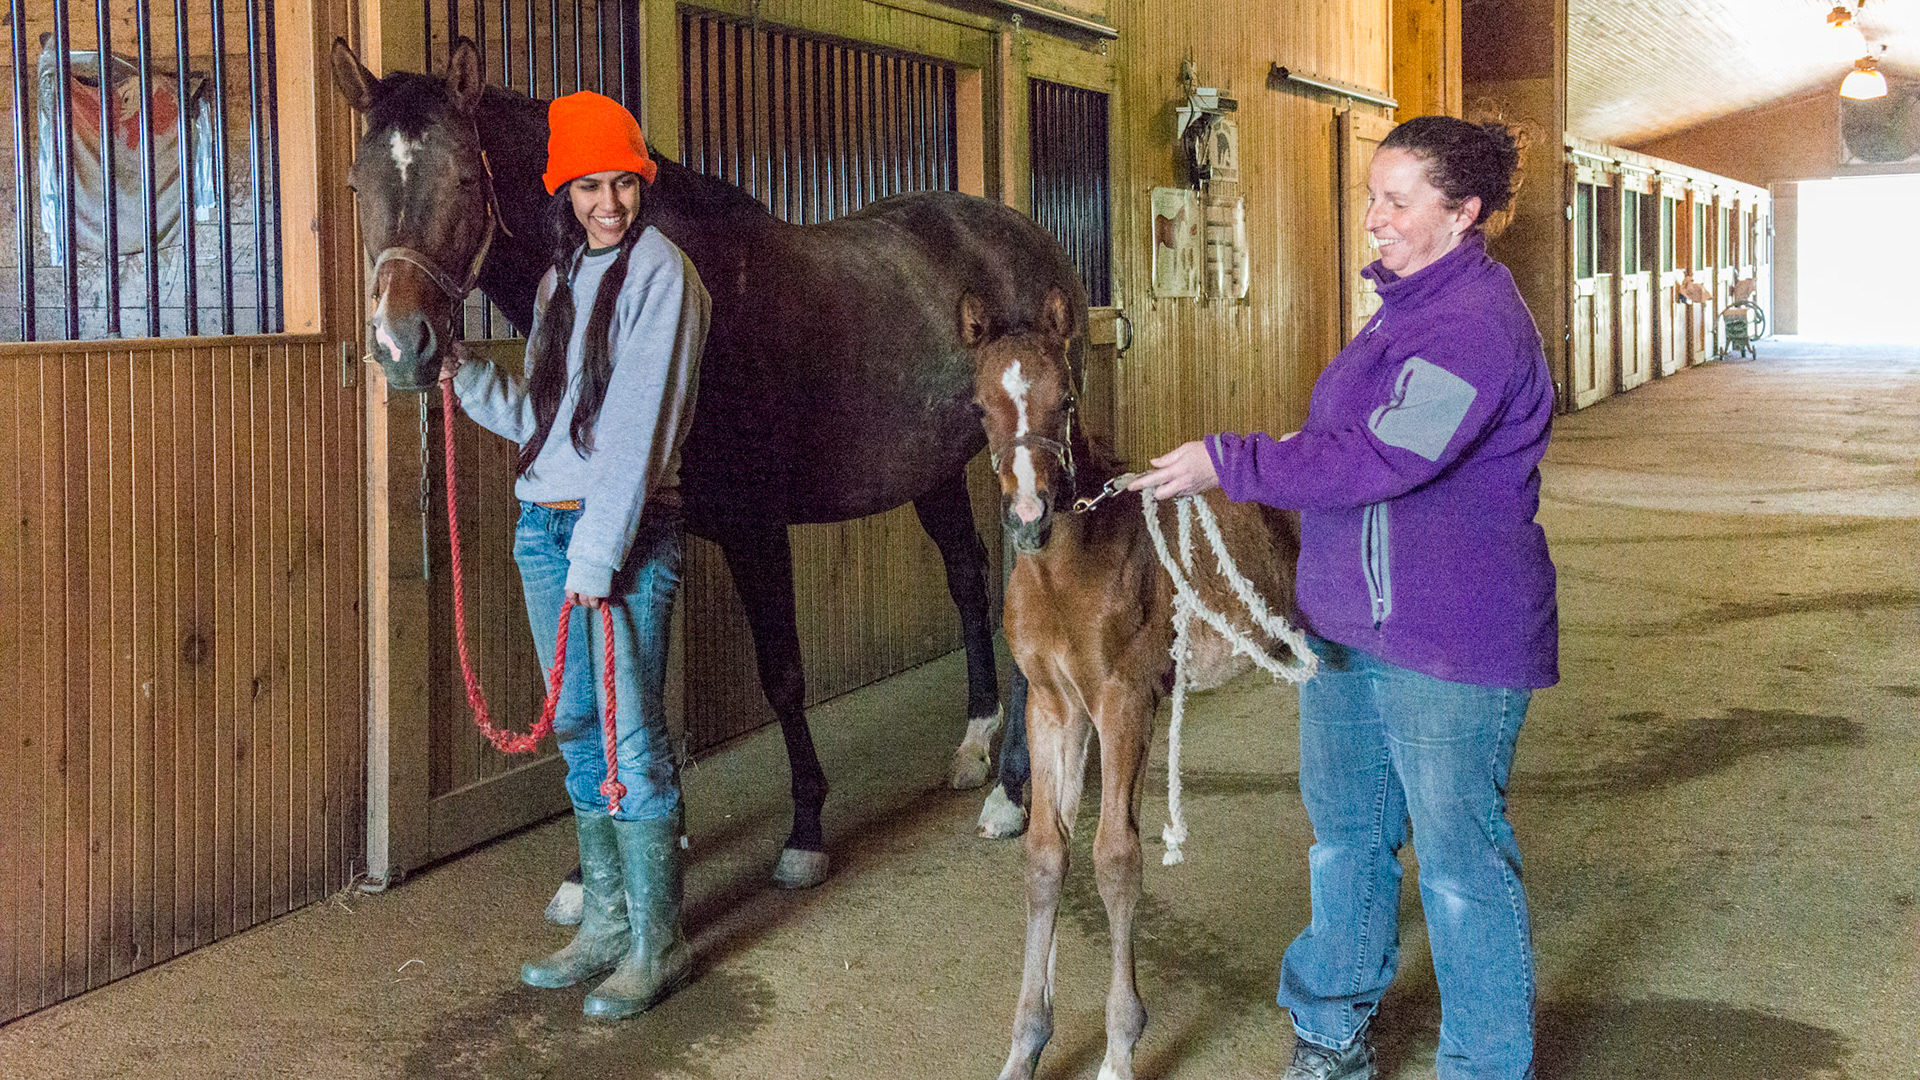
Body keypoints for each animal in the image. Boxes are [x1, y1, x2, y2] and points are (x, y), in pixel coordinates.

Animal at [330, 37, 1072, 888]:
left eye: (461, 178)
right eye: (357, 185)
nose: (402, 346)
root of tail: (1027, 236)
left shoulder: (756, 528)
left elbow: (782, 676)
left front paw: (804, 833)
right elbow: (634, 679)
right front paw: (617, 858)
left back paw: (1011, 794)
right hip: (935, 468)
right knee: (966, 575)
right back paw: (975, 743)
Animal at [964, 286, 1304, 1080]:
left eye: (1066, 397)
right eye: (980, 406)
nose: (1028, 518)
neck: (1065, 573)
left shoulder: (1126, 703)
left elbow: (1115, 858)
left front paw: (1120, 1047)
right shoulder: (1054, 708)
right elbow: (1047, 855)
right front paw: (1026, 1045)